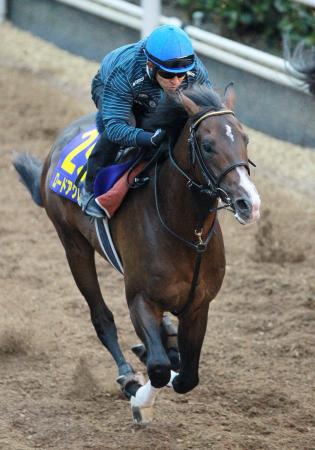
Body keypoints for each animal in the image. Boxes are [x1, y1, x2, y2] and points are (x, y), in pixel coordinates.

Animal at [12, 83, 262, 422]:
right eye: (208, 145)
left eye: (245, 139)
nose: (249, 203)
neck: (188, 234)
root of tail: (55, 150)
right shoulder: (140, 299)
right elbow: (159, 369)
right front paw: (141, 400)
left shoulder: (199, 306)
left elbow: (187, 377)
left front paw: (168, 354)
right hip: (73, 245)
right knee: (102, 318)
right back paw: (128, 374)